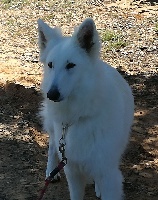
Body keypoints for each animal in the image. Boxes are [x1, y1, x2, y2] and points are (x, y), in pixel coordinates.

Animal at [37, 18, 134, 199]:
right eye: (50, 65)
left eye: (70, 65)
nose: (51, 94)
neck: (80, 115)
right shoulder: (72, 170)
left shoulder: (108, 173)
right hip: (53, 130)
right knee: (52, 146)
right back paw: (51, 171)